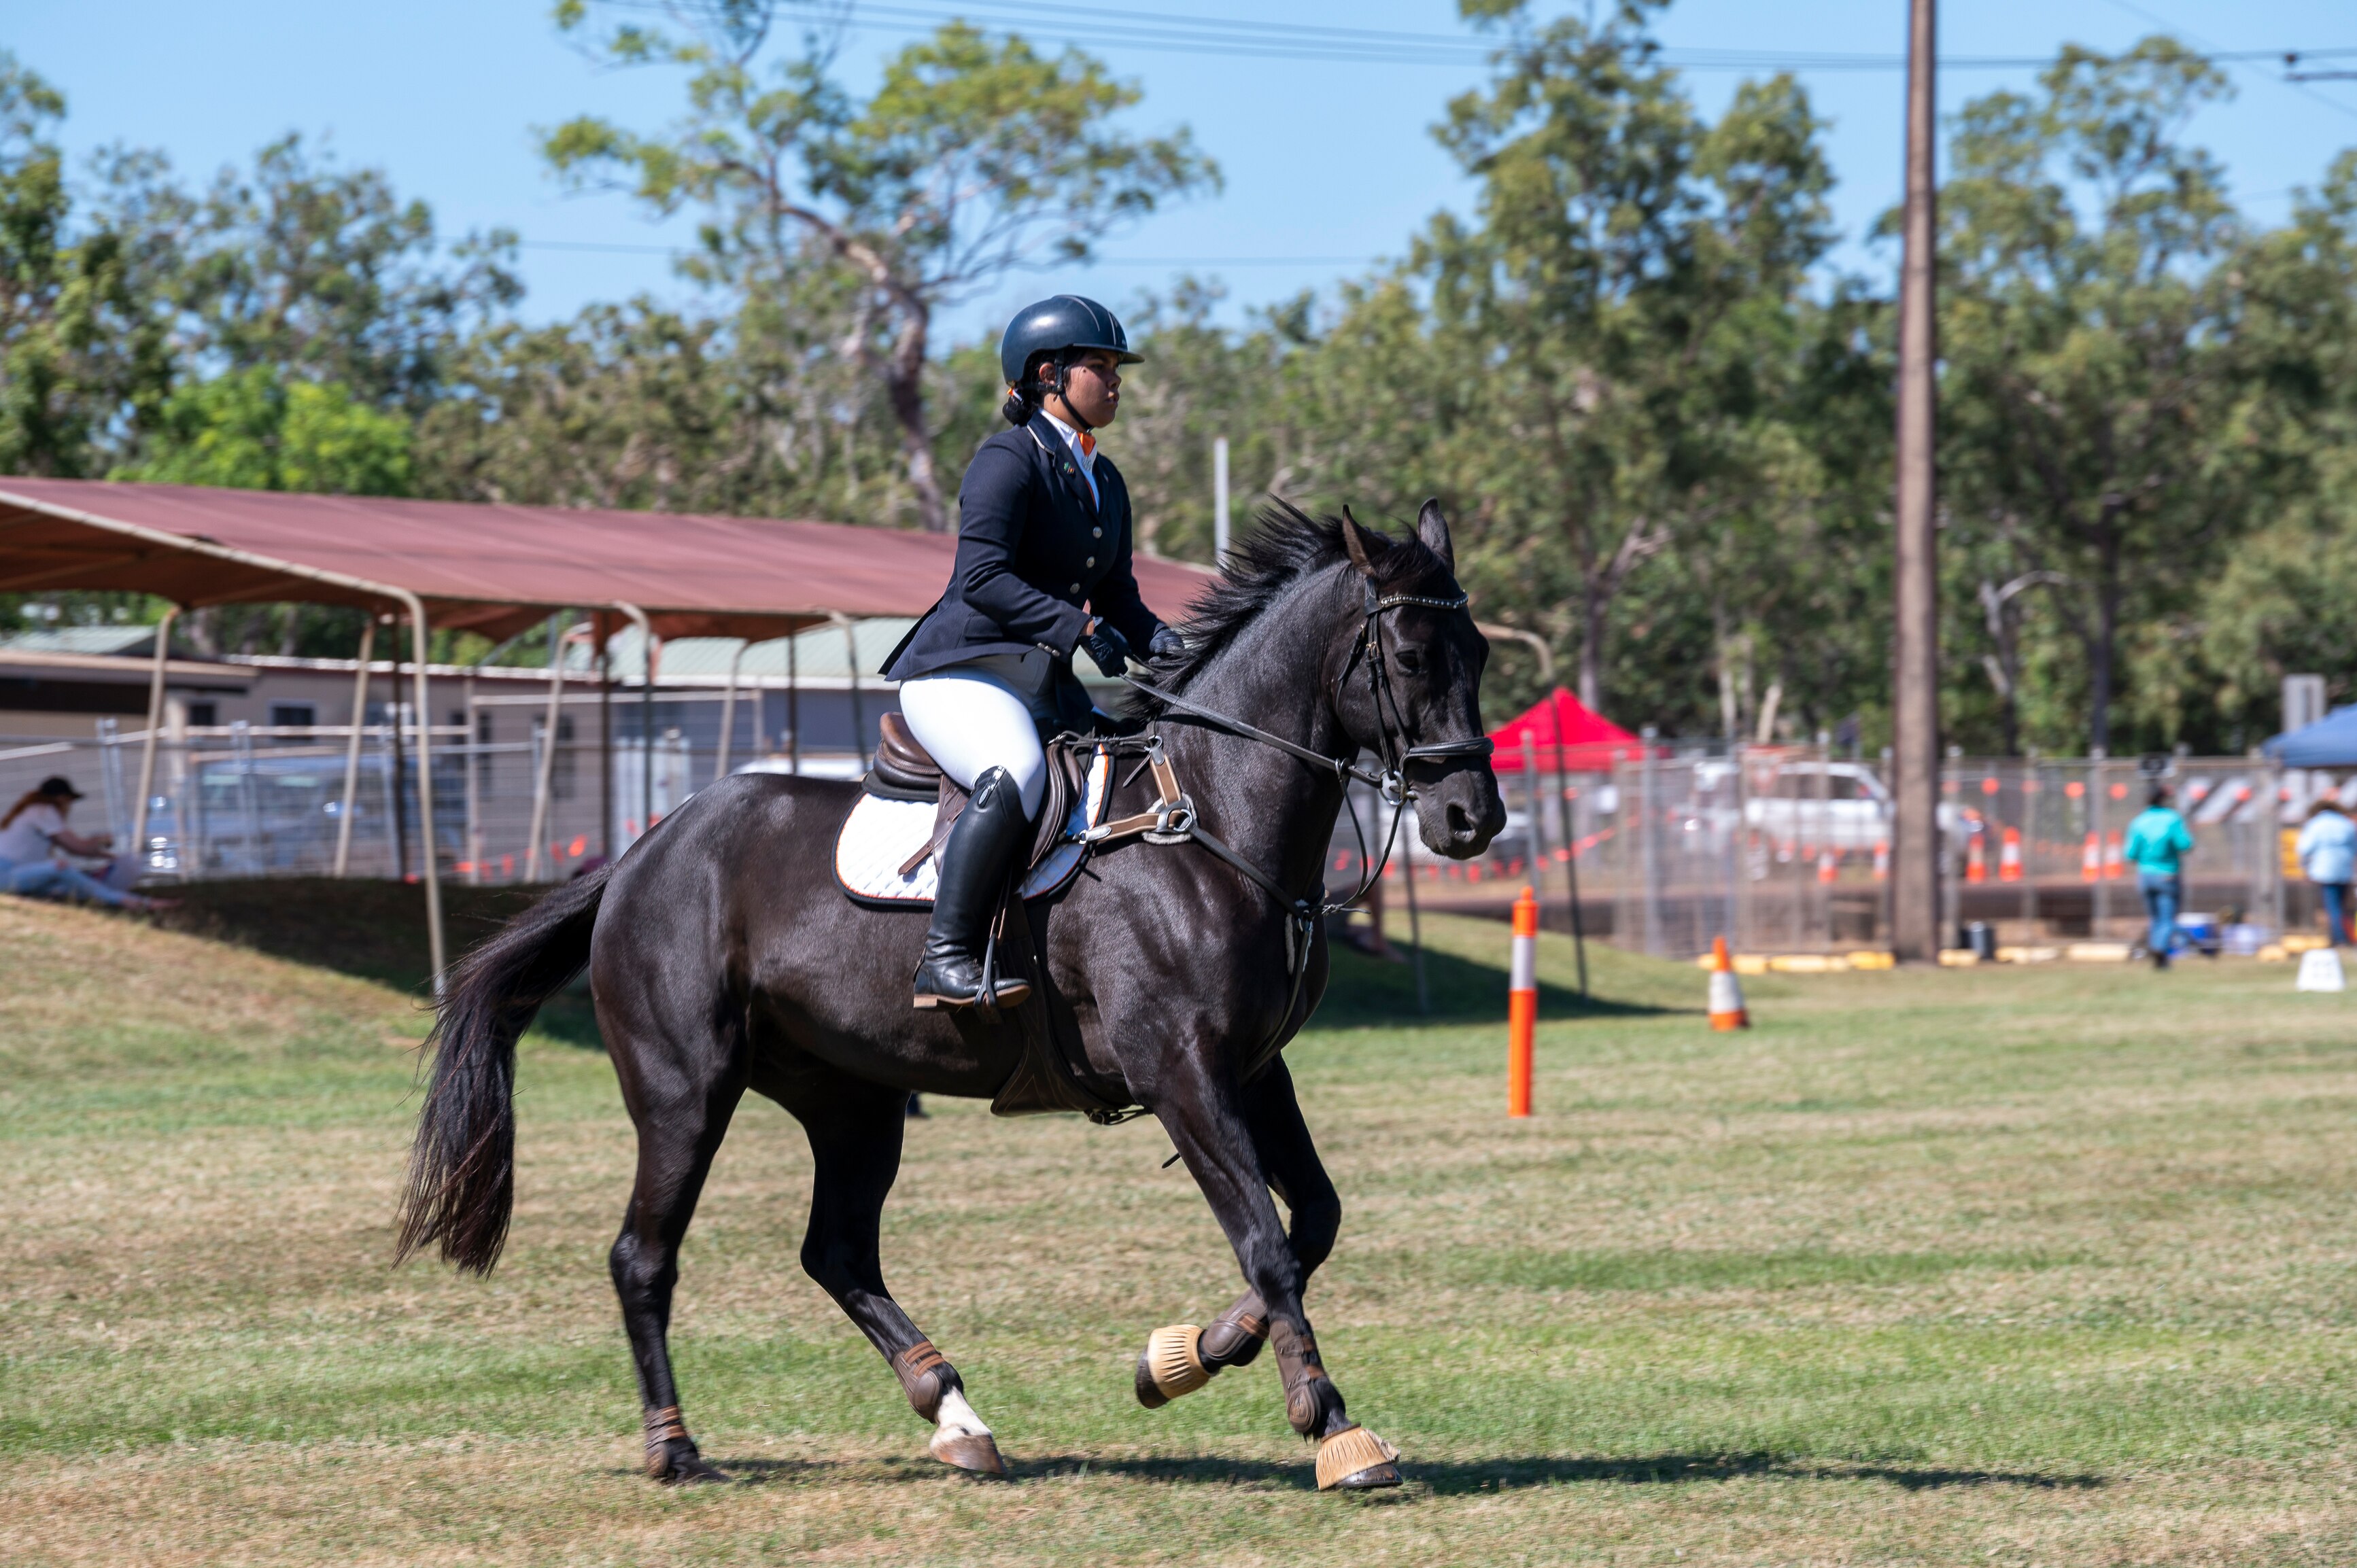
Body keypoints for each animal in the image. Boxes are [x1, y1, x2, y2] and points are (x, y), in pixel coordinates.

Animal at [394, 500, 1505, 1491]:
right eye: (1410, 658)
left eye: (1481, 656)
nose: (1471, 820)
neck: (1208, 818)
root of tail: (641, 852)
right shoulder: (1182, 1072)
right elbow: (1269, 1242)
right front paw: (1330, 1425)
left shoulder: (1252, 1067)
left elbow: (1311, 1220)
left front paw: (1183, 1354)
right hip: (686, 1094)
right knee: (643, 1255)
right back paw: (673, 1446)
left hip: (852, 1098)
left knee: (838, 1250)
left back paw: (955, 1414)